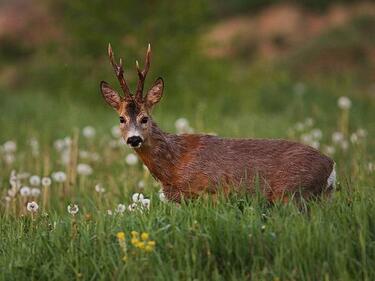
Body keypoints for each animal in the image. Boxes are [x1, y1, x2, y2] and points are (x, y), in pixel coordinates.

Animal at [99, 43, 334, 201]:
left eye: (144, 118)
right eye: (121, 118)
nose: (134, 139)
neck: (174, 166)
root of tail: (331, 165)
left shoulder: (210, 192)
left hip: (292, 192)